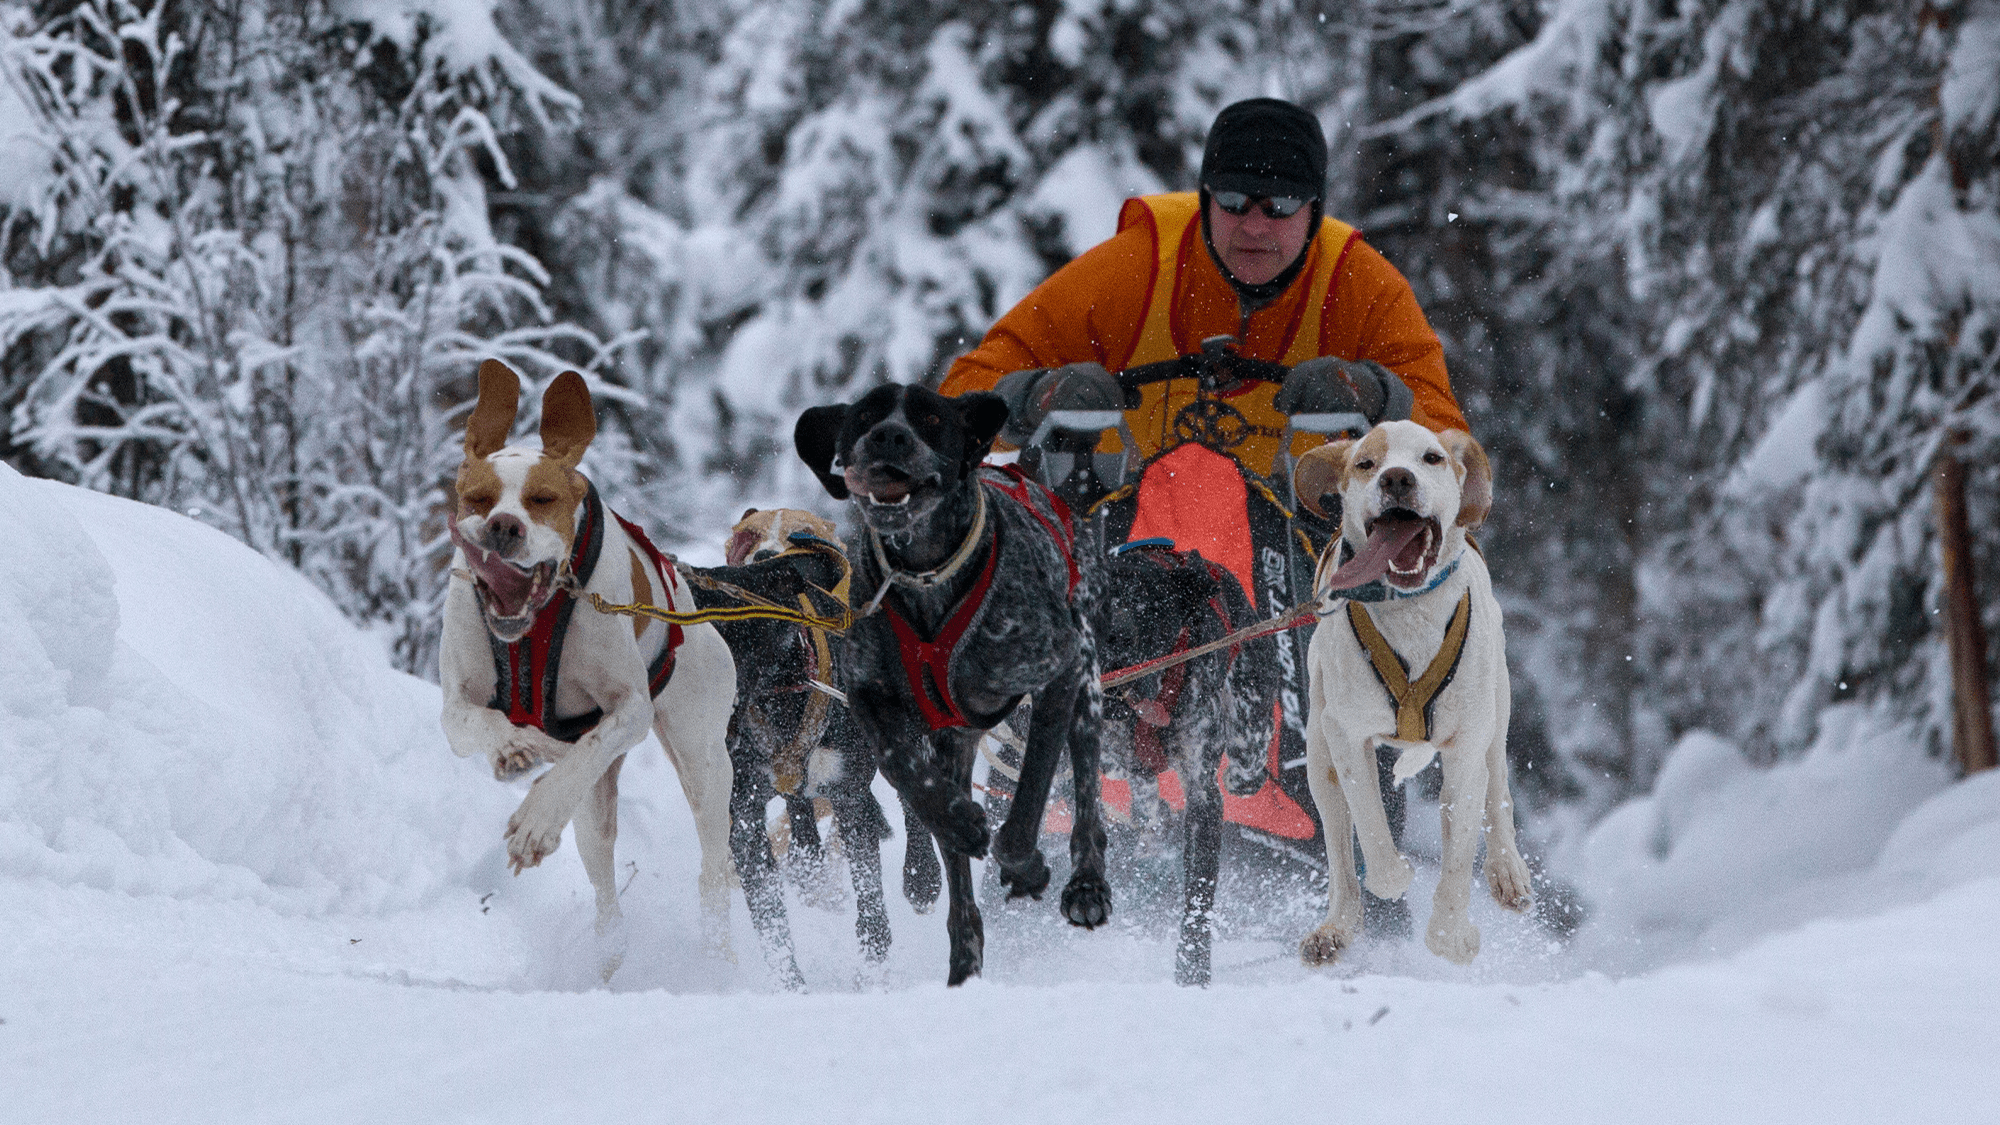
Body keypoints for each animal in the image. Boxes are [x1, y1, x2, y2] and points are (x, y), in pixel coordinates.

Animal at [442, 358, 740, 972]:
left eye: (542, 498)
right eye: (478, 497)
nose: (502, 526)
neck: (533, 625)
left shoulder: (630, 710)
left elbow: (585, 753)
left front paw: (534, 819)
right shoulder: (454, 706)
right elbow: (478, 722)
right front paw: (510, 749)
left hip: (703, 759)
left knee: (712, 862)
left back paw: (717, 952)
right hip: (598, 810)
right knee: (602, 869)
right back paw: (609, 949)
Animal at [792, 380, 1112, 976]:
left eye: (932, 418)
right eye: (865, 416)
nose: (888, 436)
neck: (925, 573)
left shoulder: (1058, 671)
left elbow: (1030, 793)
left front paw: (1025, 864)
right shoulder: (871, 699)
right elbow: (909, 776)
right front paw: (957, 824)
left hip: (1087, 688)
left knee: (1086, 795)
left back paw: (1086, 885)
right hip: (956, 740)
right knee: (960, 884)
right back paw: (964, 956)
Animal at [1096, 540, 1280, 980]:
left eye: (1152, 613)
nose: (1114, 651)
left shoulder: (1203, 795)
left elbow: (1198, 895)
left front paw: (1192, 968)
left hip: (1248, 733)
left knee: (1245, 769)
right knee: (1141, 791)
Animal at [1288, 416, 1520, 960]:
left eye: (1431, 458)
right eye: (1365, 463)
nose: (1395, 478)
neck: (1409, 611)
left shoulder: (1464, 750)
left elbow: (1459, 850)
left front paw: (1450, 933)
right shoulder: (1346, 735)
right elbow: (1371, 824)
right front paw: (1393, 878)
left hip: (1496, 712)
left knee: (1498, 786)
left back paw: (1507, 868)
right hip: (1318, 754)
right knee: (1339, 846)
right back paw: (1337, 924)